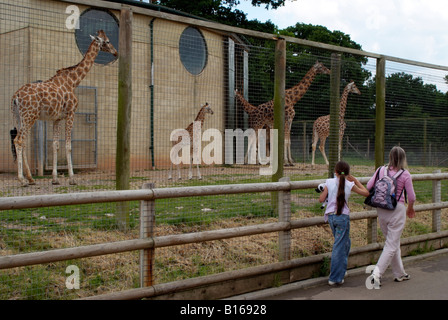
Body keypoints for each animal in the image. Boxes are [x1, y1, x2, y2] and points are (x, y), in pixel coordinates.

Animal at [10, 30, 117, 186]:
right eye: (108, 41)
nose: (115, 52)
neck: (73, 81)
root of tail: (16, 96)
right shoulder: (71, 113)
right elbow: (68, 145)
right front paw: (72, 178)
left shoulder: (57, 118)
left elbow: (55, 145)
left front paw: (55, 179)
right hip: (29, 116)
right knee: (18, 141)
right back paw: (22, 180)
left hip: (19, 117)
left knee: (21, 142)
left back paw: (30, 178)